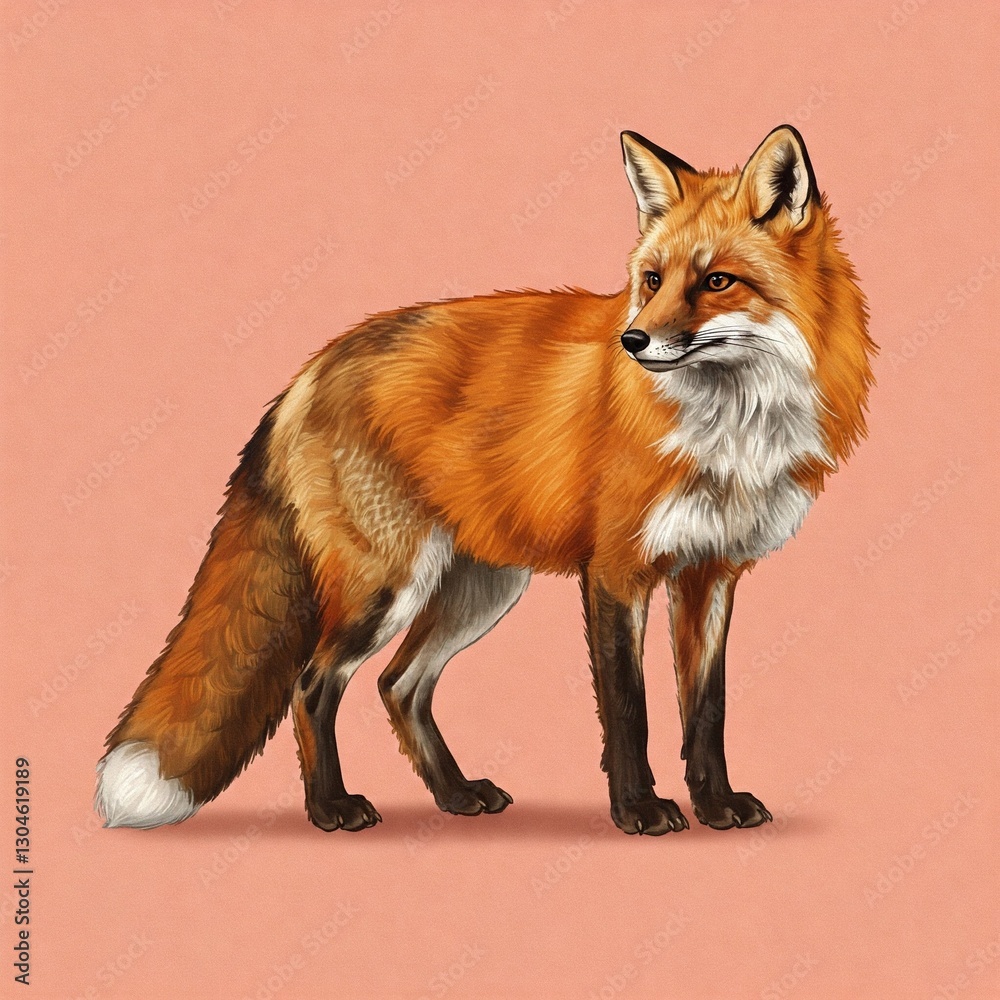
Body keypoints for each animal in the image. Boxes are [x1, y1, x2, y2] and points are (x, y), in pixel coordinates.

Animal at [96, 125, 874, 836]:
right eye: (652, 280)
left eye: (716, 281)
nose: (632, 341)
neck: (732, 427)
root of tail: (313, 366)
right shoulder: (616, 572)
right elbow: (630, 710)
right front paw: (638, 810)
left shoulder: (711, 572)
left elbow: (705, 711)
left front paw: (716, 805)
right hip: (388, 586)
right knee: (312, 685)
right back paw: (330, 808)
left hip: (481, 588)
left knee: (398, 685)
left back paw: (454, 793)